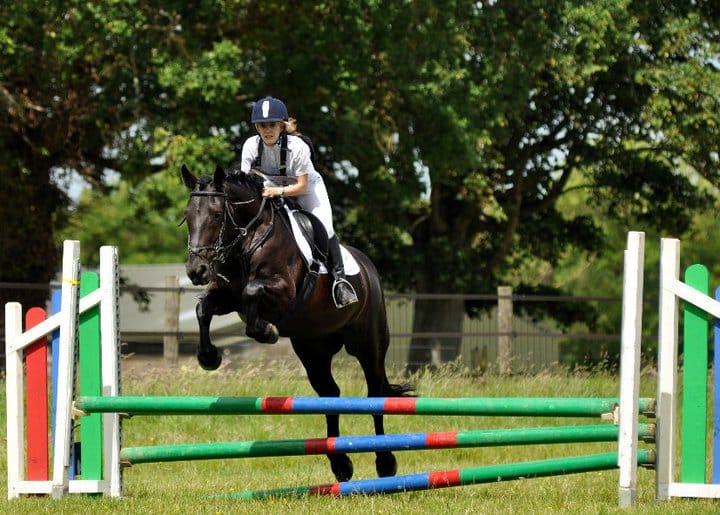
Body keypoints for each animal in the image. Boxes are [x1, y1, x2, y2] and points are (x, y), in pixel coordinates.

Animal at [180, 164, 412, 482]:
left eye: (217, 215)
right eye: (188, 215)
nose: (197, 271)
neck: (248, 239)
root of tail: (369, 270)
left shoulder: (284, 293)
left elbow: (252, 291)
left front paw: (266, 331)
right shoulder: (227, 296)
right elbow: (203, 308)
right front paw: (208, 357)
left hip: (369, 344)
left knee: (375, 394)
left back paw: (385, 461)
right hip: (313, 349)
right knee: (330, 394)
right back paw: (340, 464)